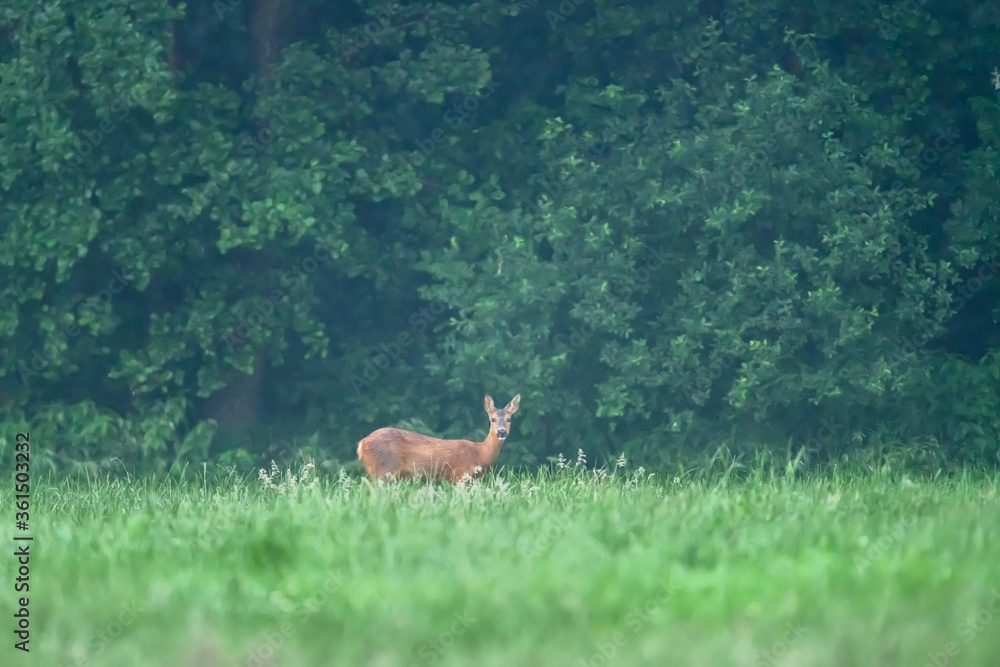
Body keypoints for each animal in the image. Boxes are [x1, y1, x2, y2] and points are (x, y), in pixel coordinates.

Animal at [356, 394, 524, 482]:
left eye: (509, 419)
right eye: (492, 419)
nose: (502, 432)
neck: (480, 453)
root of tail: (361, 444)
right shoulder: (462, 475)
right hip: (385, 469)